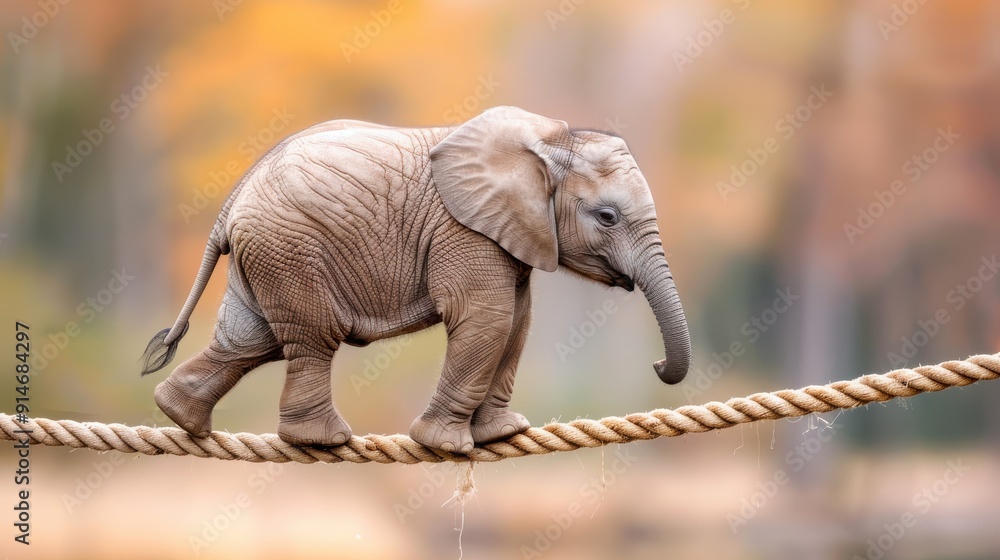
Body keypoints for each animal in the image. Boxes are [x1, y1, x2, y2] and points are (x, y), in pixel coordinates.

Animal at [140, 105, 691, 454]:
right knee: (312, 337)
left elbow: (516, 321)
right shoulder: (463, 229)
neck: (551, 142)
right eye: (607, 218)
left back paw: (179, 414)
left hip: (267, 252)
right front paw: (446, 445)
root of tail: (234, 200)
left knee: (253, 339)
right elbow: (487, 319)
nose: (657, 364)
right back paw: (323, 441)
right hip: (289, 248)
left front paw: (502, 435)